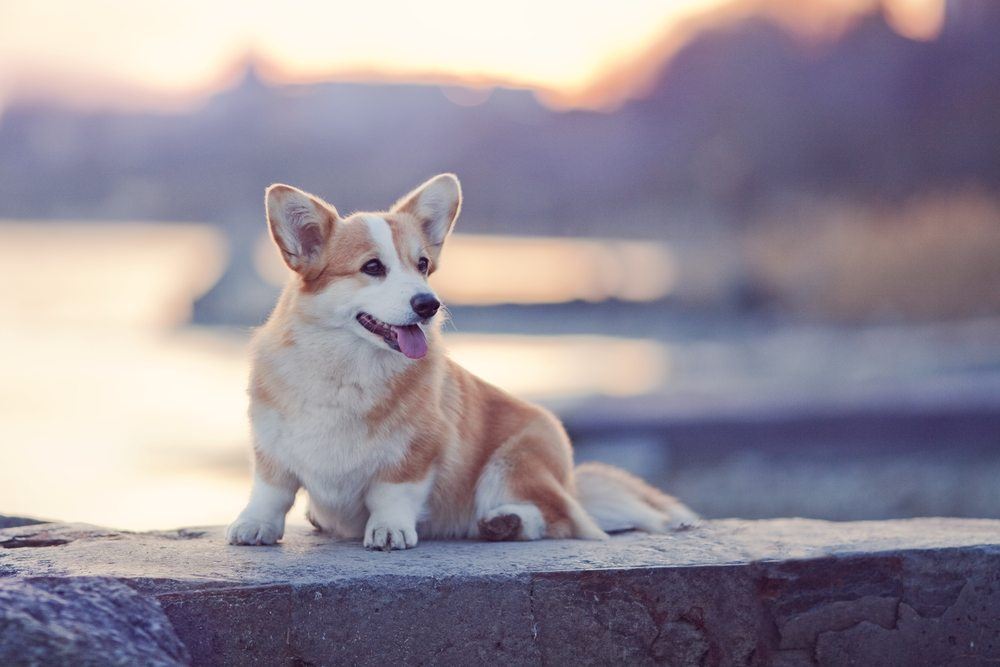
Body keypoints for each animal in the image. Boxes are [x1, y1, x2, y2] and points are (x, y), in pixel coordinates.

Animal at [227, 175, 696, 552]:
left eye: (422, 265)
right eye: (372, 267)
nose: (429, 304)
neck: (345, 366)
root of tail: (571, 484)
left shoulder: (418, 451)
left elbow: (392, 493)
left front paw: (389, 529)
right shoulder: (271, 444)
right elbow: (271, 491)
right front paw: (254, 525)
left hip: (515, 461)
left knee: (558, 519)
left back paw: (506, 523)